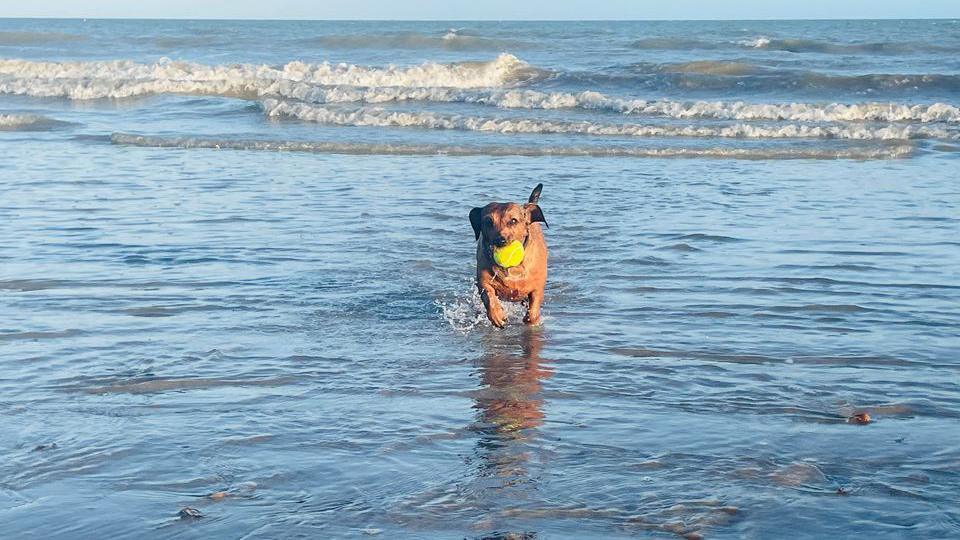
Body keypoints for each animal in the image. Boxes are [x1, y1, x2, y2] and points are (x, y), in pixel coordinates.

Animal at [470, 184, 548, 326]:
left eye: (513, 221)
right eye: (488, 222)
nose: (500, 240)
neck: (513, 267)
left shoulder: (537, 286)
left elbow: (533, 309)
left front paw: (531, 318)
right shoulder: (484, 281)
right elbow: (489, 295)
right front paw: (496, 314)